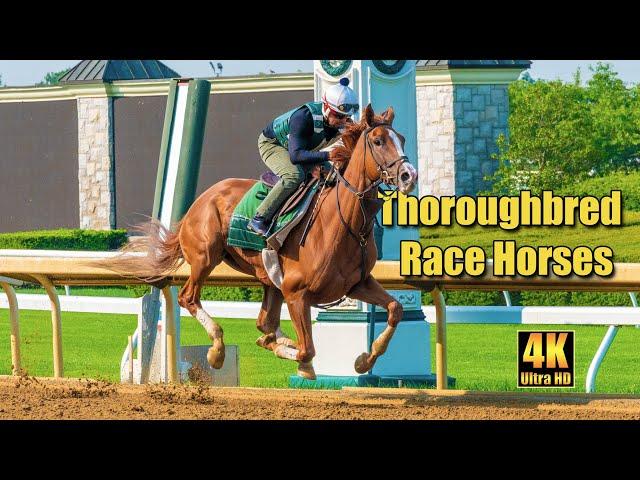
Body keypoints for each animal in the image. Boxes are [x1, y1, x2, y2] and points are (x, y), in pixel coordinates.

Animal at [102, 105, 418, 378]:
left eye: (402, 139)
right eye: (378, 141)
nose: (408, 176)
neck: (342, 224)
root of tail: (200, 200)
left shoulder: (357, 284)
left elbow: (395, 310)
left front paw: (364, 360)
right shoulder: (296, 292)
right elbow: (306, 350)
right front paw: (294, 357)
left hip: (267, 279)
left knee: (264, 321)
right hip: (205, 257)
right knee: (188, 298)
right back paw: (217, 350)